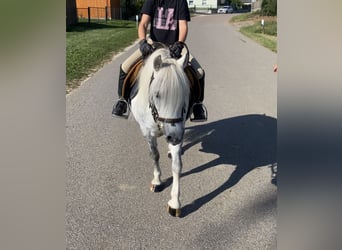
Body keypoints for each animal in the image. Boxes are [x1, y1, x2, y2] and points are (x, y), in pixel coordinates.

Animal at [130, 44, 191, 216]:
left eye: (185, 94)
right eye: (157, 95)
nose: (174, 138)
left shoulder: (178, 129)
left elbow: (177, 165)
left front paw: (175, 202)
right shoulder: (147, 132)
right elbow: (155, 155)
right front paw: (157, 181)